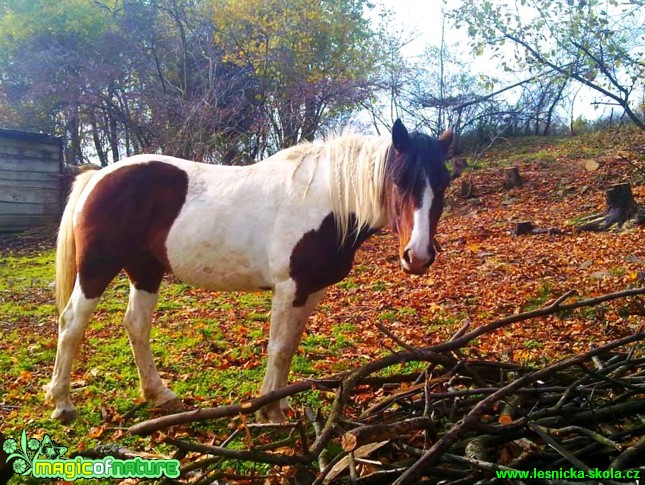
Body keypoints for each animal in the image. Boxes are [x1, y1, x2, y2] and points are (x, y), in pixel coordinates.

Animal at [45, 119, 450, 422]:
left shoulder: (311, 290)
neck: (324, 201)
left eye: (443, 184)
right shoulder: (289, 288)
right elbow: (279, 347)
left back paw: (160, 395)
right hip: (97, 269)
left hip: (146, 270)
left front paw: (280, 403)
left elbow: (291, 345)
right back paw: (63, 403)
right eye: (399, 181)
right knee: (71, 323)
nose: (417, 256)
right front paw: (270, 410)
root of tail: (99, 176)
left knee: (136, 325)